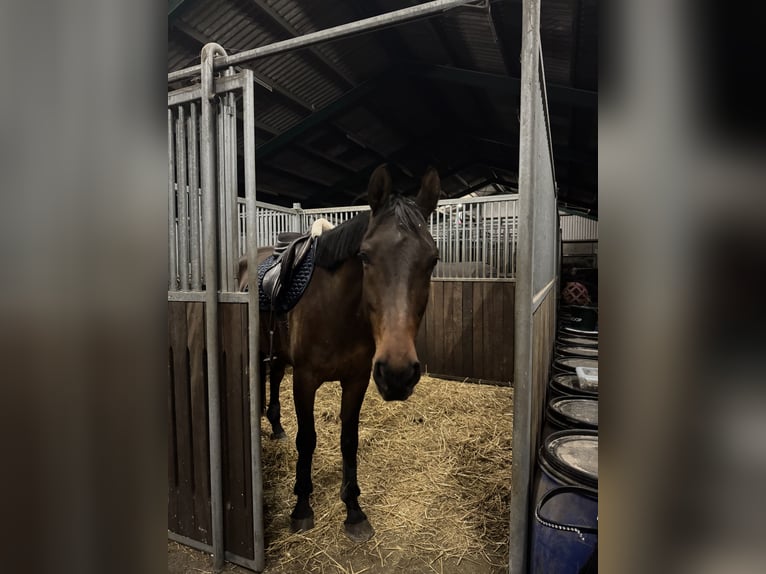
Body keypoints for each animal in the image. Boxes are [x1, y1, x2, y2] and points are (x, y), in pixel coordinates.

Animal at [240, 164, 440, 541]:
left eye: (433, 259)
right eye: (364, 255)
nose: (398, 374)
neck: (338, 312)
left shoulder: (357, 379)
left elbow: (349, 440)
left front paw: (354, 510)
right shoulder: (304, 380)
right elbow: (307, 439)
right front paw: (302, 507)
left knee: (273, 378)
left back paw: (275, 426)